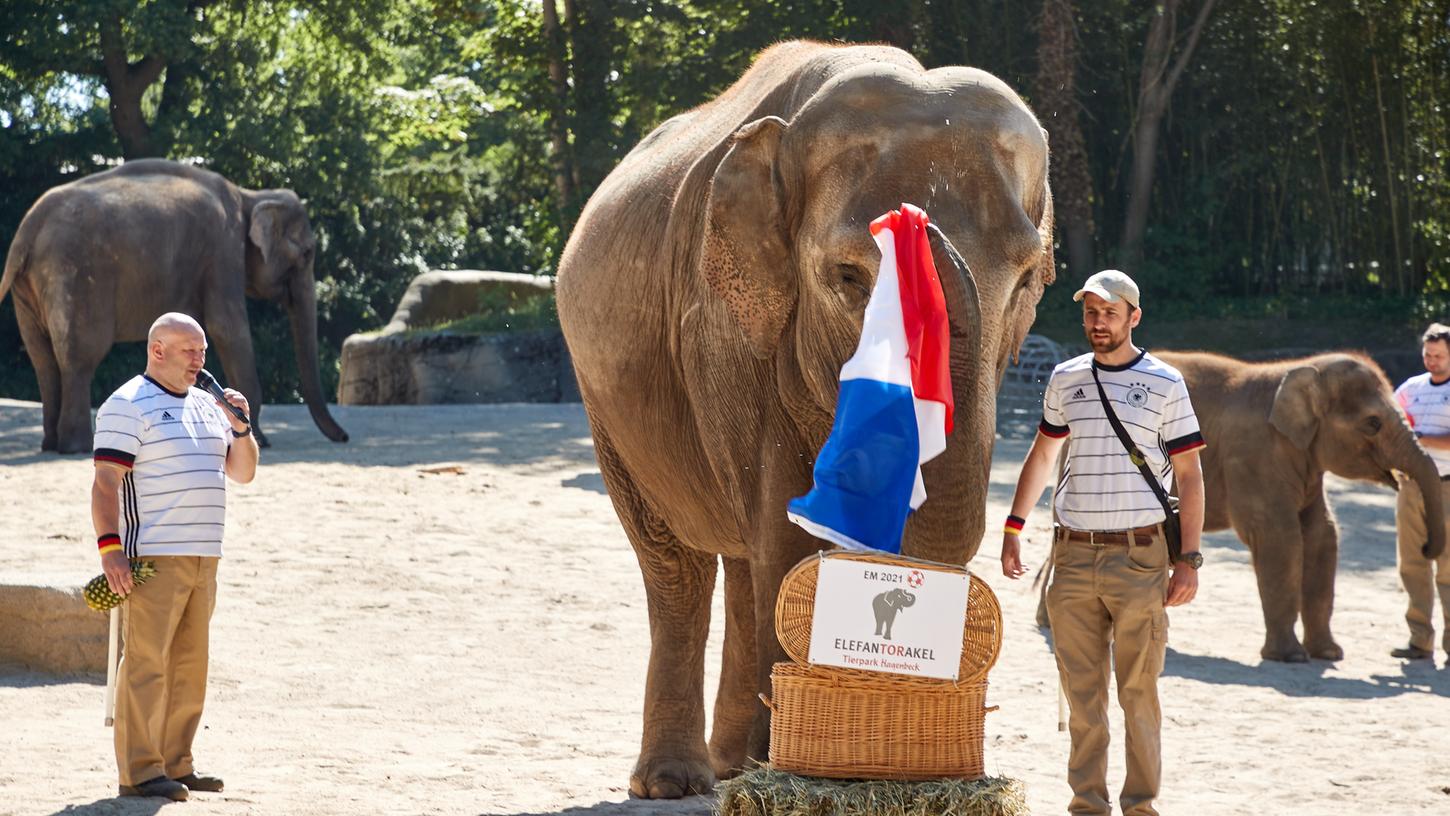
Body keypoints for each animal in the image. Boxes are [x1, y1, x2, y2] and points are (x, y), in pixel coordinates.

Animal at [0, 157, 348, 452]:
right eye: (307, 253)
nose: (344, 437)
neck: (249, 196)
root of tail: (27, 228)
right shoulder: (223, 249)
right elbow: (227, 327)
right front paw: (258, 438)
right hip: (75, 274)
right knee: (79, 356)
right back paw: (76, 447)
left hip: (30, 286)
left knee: (43, 359)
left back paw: (51, 444)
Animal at [556, 43, 1055, 800]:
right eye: (849, 278)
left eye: (1027, 279)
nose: (913, 218)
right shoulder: (727, 332)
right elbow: (788, 532)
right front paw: (791, 759)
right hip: (604, 400)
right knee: (677, 565)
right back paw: (678, 782)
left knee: (741, 562)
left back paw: (734, 766)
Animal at [1148, 350, 1444, 663]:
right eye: (1373, 423)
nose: (1426, 547)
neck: (1297, 370)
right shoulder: (1254, 455)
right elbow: (1280, 538)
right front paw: (1290, 656)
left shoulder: (1308, 463)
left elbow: (1322, 535)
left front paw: (1329, 653)